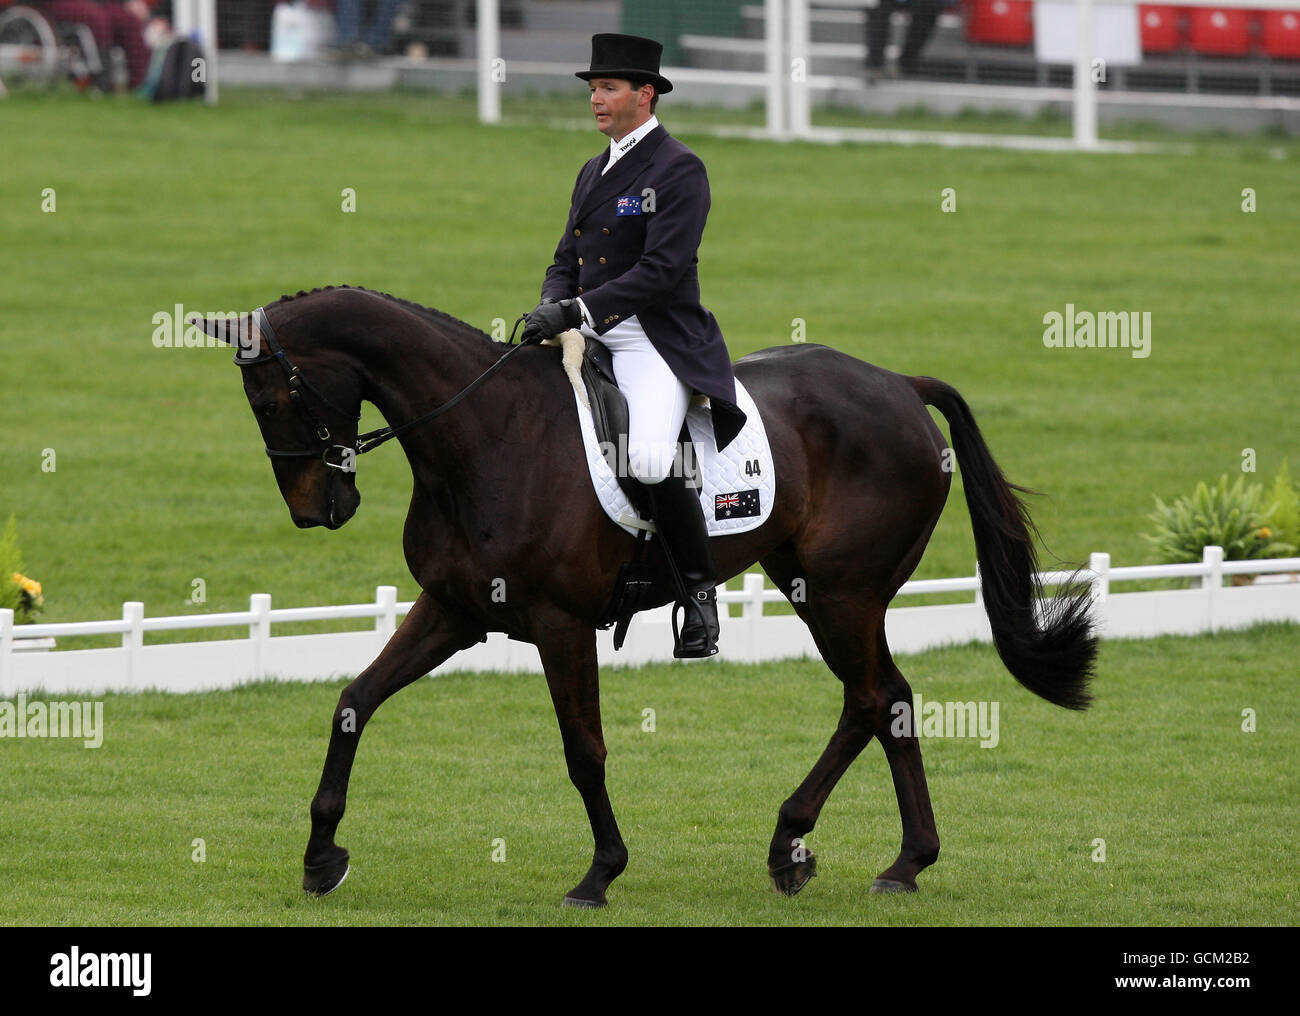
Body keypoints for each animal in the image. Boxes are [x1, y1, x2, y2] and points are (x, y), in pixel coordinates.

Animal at [197, 284, 1097, 909]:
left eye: (275, 398)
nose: (319, 511)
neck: (487, 436)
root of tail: (900, 386)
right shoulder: (454, 612)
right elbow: (353, 701)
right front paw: (321, 857)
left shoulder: (560, 625)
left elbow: (583, 750)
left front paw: (599, 873)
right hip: (815, 585)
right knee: (881, 700)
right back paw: (846, 854)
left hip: (844, 592)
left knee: (877, 698)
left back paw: (848, 853)